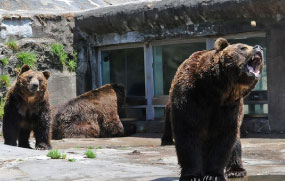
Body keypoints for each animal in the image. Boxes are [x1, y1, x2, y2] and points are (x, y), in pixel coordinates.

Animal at [164, 38, 264, 181]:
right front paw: (192, 175)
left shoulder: (229, 108)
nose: (259, 47)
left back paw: (236, 170)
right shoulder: (189, 99)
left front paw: (213, 175)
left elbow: (223, 139)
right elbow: (188, 134)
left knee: (235, 144)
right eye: (242, 48)